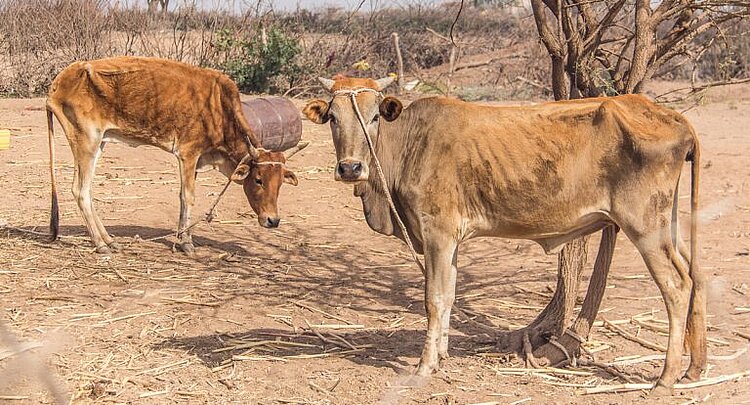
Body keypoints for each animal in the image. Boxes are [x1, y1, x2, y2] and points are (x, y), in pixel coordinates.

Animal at [47, 56, 306, 252]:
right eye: (258, 179)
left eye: (280, 183)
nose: (273, 220)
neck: (219, 107)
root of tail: (58, 82)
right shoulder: (187, 153)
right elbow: (187, 197)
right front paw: (187, 243)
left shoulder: (197, 160)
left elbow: (184, 197)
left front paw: (183, 238)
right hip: (86, 141)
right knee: (80, 190)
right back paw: (100, 244)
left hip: (98, 143)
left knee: (88, 191)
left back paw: (109, 240)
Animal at [306, 76, 704, 394]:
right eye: (333, 118)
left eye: (374, 116)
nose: (350, 168)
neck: (408, 145)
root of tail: (672, 117)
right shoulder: (451, 240)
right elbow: (449, 295)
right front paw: (442, 356)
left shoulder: (437, 233)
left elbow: (434, 298)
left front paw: (424, 367)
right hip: (668, 225)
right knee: (695, 275)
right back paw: (694, 368)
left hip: (645, 227)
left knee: (676, 286)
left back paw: (666, 377)